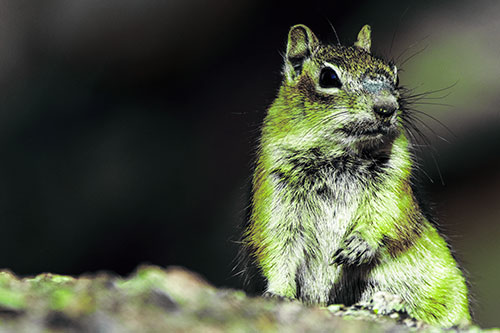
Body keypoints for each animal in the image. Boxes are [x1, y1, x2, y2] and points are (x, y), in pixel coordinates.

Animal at [240, 24, 470, 326]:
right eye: (328, 77)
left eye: (395, 75)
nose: (387, 108)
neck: (339, 155)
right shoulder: (275, 188)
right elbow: (276, 245)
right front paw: (279, 293)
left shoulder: (394, 181)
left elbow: (389, 215)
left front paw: (360, 245)